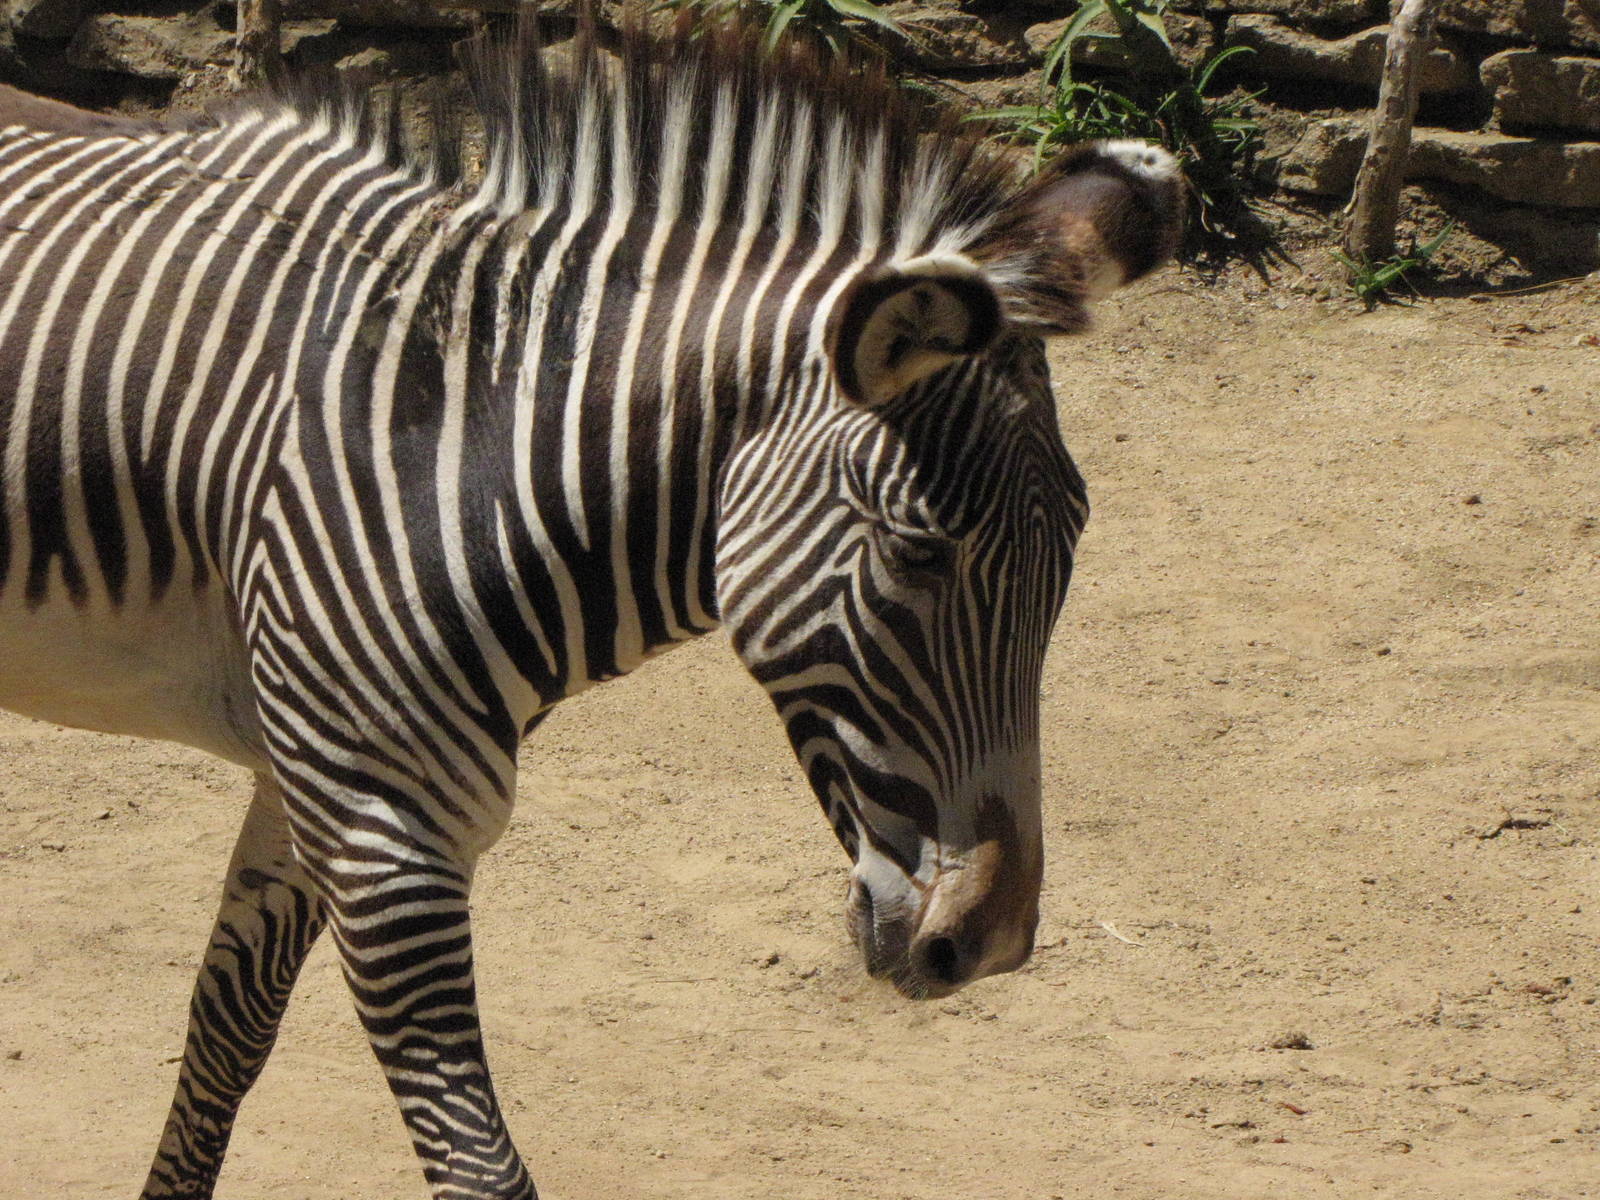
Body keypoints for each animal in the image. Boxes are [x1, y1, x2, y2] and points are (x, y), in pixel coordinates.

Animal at [0, 15, 1182, 1200]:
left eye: (1073, 545)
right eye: (916, 549)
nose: (990, 943)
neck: (458, 448)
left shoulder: (304, 781)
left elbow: (227, 1036)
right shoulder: (384, 825)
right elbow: (479, 1166)